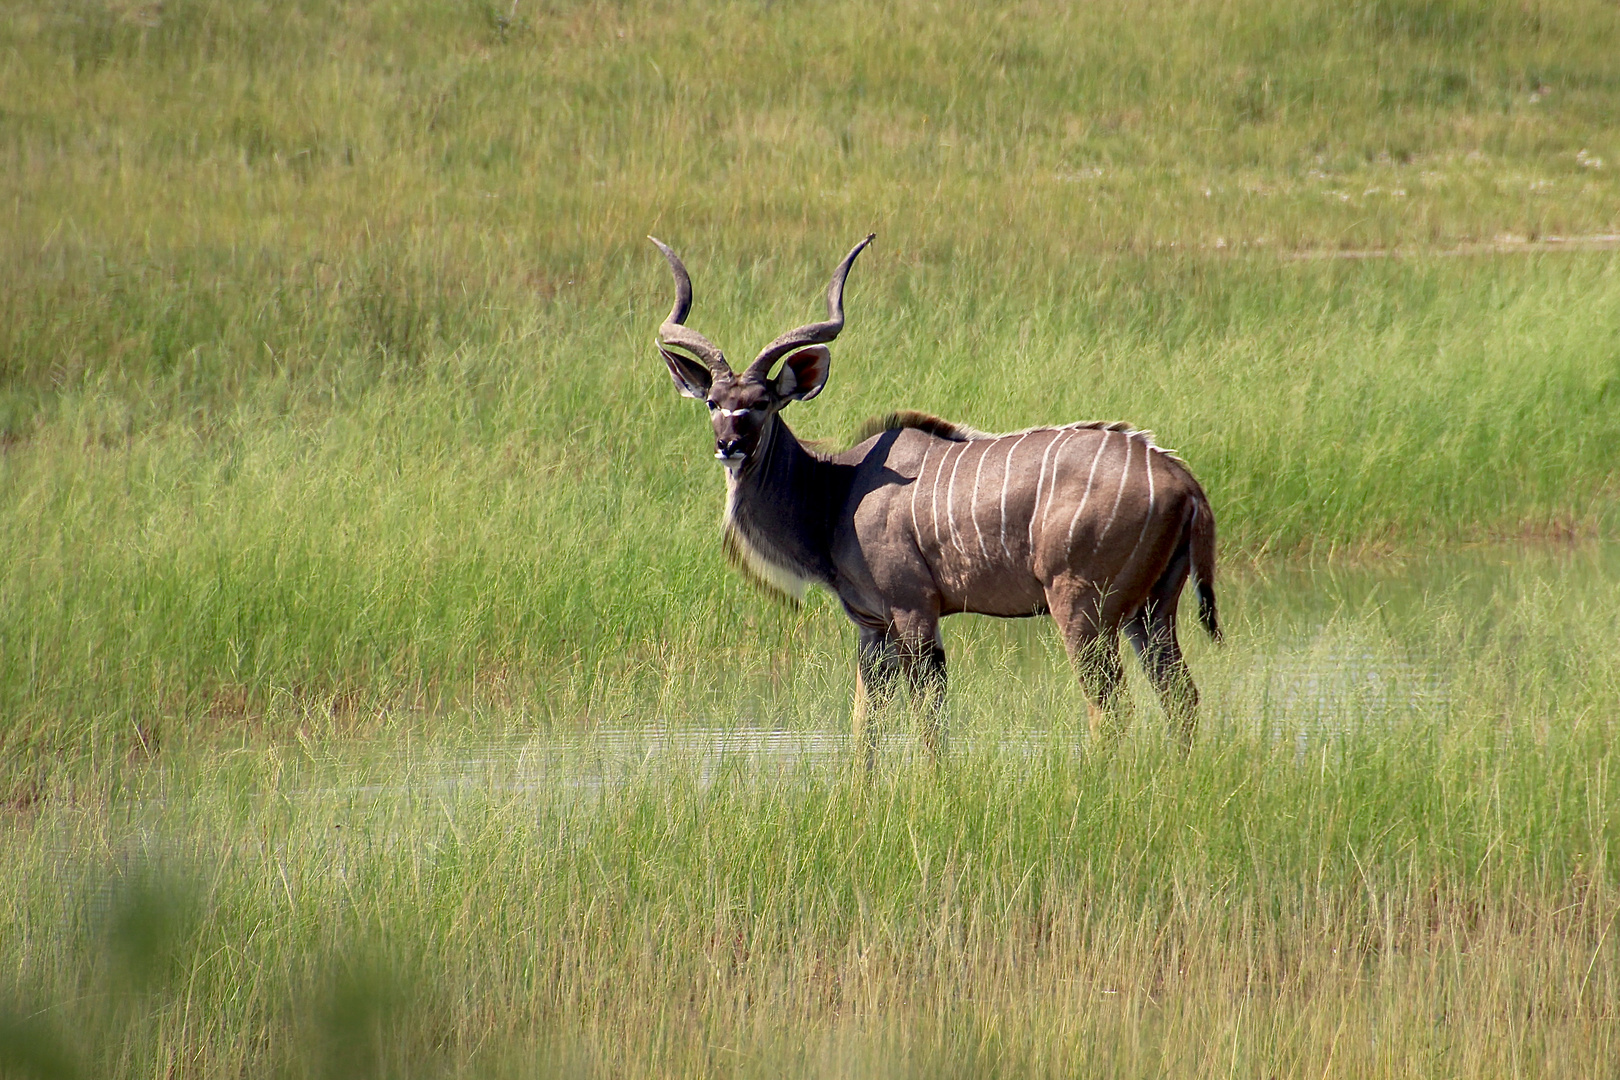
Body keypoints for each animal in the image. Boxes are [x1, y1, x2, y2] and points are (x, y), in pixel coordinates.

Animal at [651, 236, 1218, 761]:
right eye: (713, 402)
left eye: (762, 402)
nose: (729, 445)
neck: (837, 492)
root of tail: (1181, 479)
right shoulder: (872, 627)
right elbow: (865, 726)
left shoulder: (915, 611)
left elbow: (929, 722)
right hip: (1149, 612)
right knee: (1182, 700)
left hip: (1082, 610)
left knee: (1112, 708)